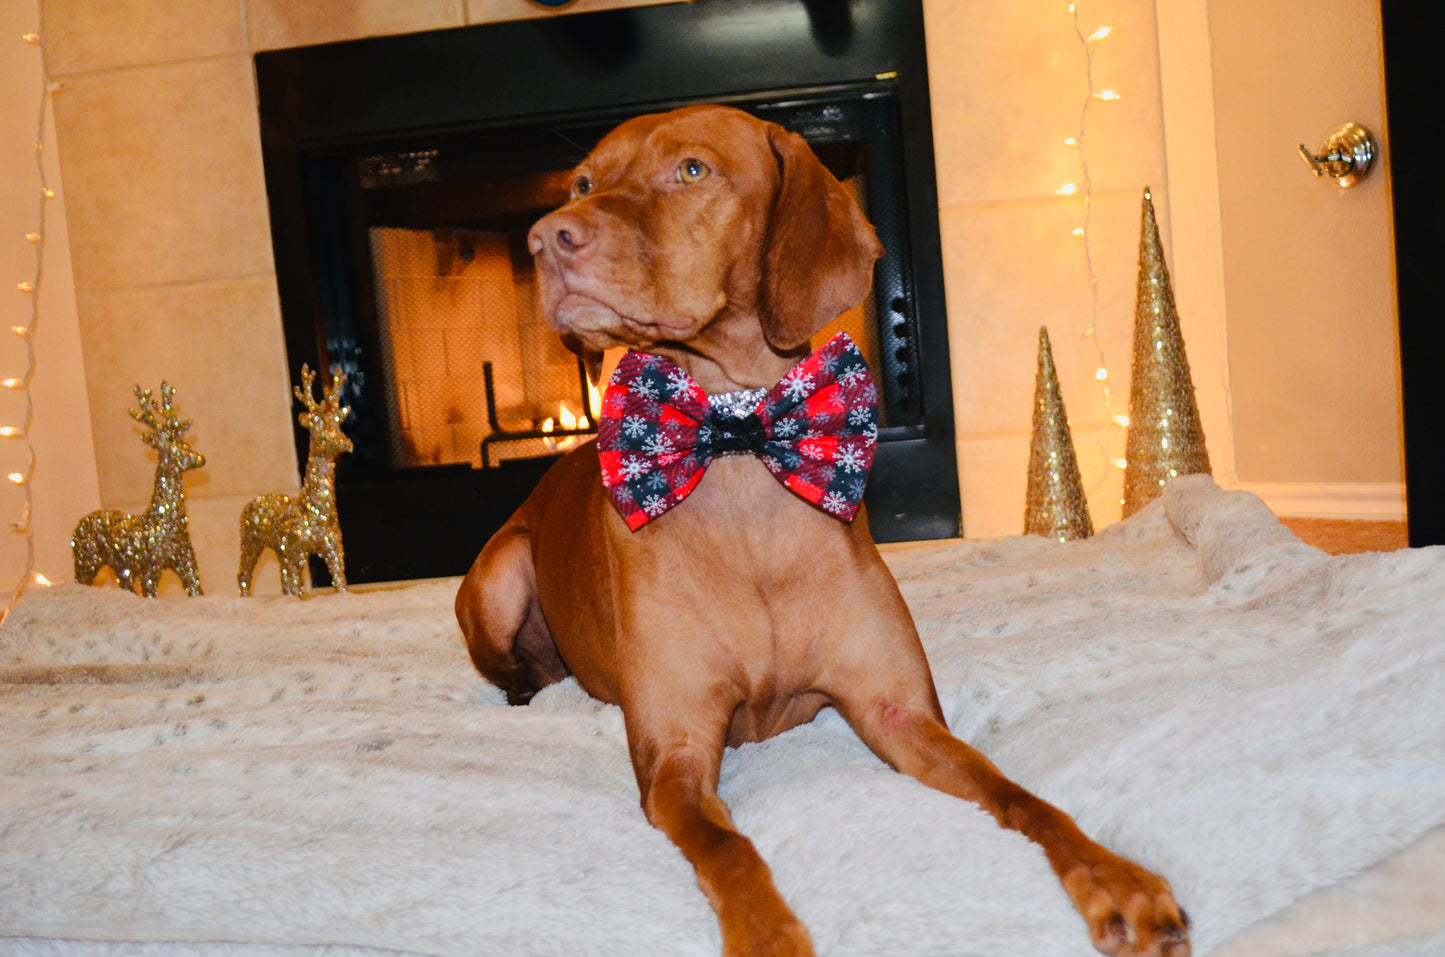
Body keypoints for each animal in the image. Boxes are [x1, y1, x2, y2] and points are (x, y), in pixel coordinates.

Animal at [456, 104, 1190, 957]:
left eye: (691, 170)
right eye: (580, 183)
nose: (546, 239)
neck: (738, 444)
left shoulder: (898, 712)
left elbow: (1020, 796)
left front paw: (1116, 876)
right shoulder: (675, 757)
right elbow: (729, 848)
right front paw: (767, 934)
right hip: (501, 575)